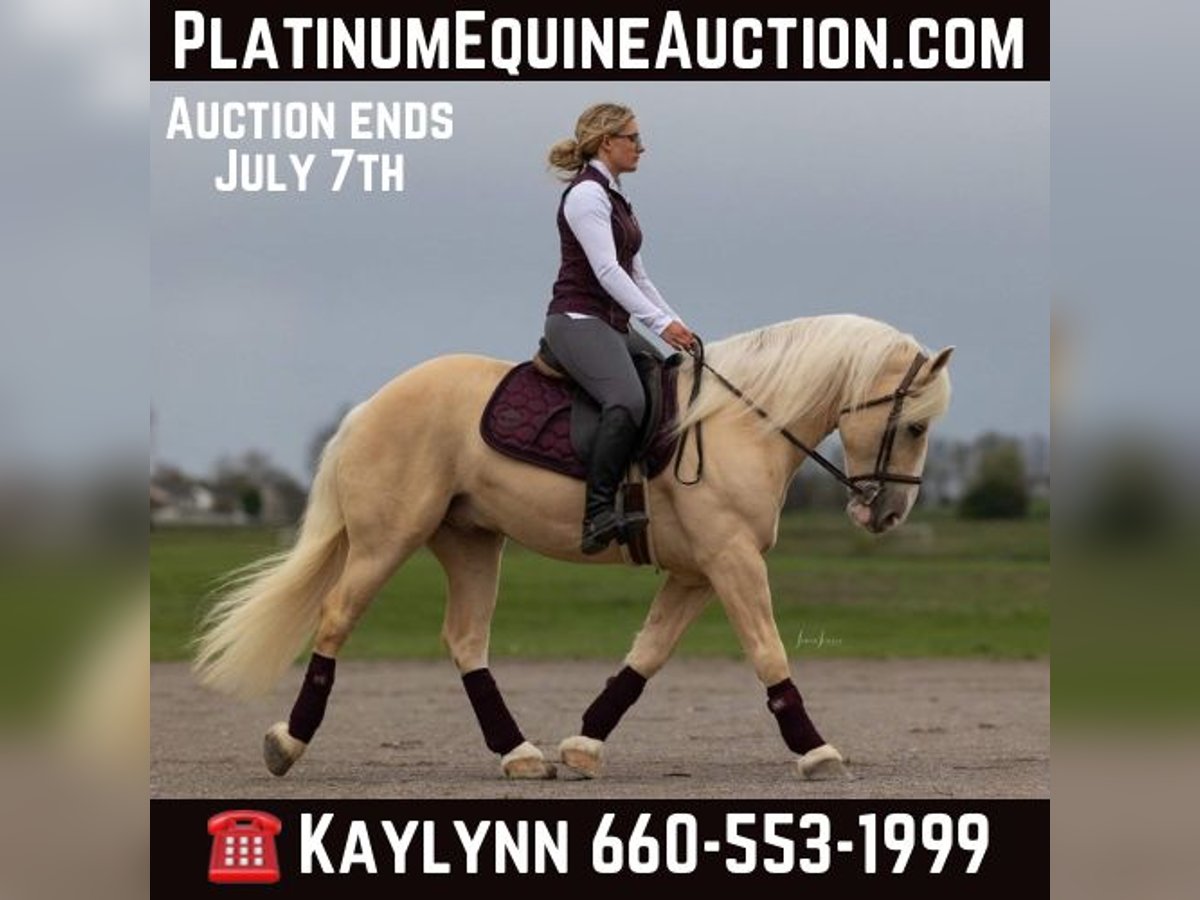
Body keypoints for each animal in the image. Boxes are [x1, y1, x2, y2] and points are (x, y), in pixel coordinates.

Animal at [194, 313, 953, 782]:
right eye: (915, 426)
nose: (887, 513)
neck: (738, 423)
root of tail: (369, 407)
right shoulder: (732, 561)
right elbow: (768, 651)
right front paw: (817, 751)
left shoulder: (698, 573)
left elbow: (646, 656)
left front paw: (585, 743)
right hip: (388, 541)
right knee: (336, 620)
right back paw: (287, 742)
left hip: (472, 542)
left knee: (466, 640)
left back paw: (519, 753)